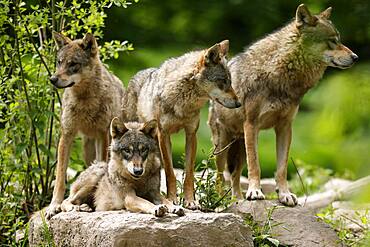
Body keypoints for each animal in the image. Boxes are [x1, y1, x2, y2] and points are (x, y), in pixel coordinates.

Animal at [45, 32, 124, 218]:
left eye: (73, 64)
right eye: (59, 62)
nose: (52, 79)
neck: (84, 100)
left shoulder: (103, 136)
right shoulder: (66, 136)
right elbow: (60, 177)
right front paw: (54, 205)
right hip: (87, 152)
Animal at [123, 40, 241, 208]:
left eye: (230, 82)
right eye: (223, 81)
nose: (239, 103)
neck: (183, 101)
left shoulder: (191, 134)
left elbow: (189, 174)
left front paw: (190, 201)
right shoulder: (164, 135)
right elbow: (170, 172)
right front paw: (172, 199)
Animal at [208, 3, 356, 206]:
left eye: (338, 40)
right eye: (333, 41)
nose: (356, 57)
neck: (280, 73)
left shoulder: (285, 127)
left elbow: (282, 168)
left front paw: (285, 194)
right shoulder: (251, 125)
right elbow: (256, 165)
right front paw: (255, 192)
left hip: (239, 147)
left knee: (235, 177)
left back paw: (237, 200)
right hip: (223, 146)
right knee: (220, 175)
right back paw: (221, 201)